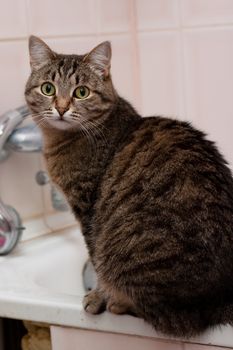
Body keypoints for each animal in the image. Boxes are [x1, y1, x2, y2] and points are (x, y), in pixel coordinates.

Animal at [24, 34, 233, 336]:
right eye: (48, 88)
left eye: (81, 92)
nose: (61, 108)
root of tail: (217, 301)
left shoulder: (87, 210)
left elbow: (95, 258)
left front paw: (98, 296)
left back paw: (119, 302)